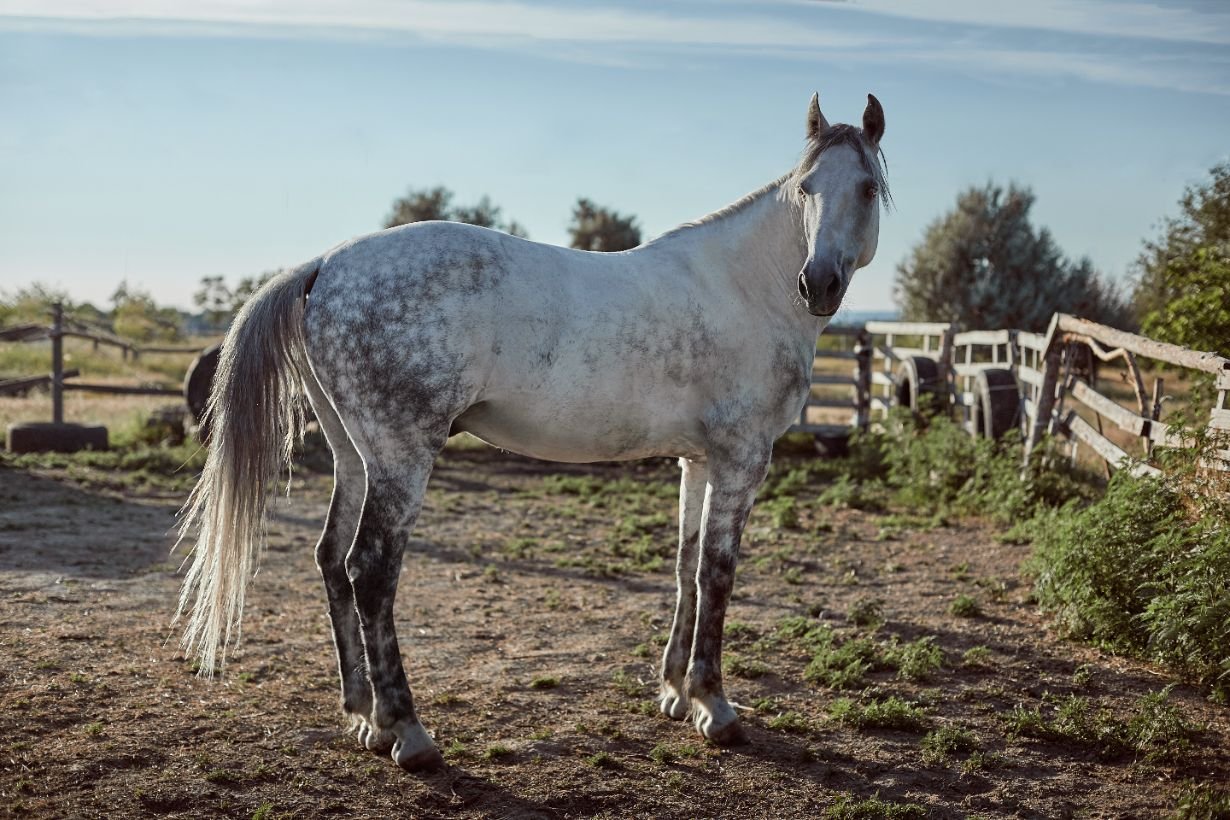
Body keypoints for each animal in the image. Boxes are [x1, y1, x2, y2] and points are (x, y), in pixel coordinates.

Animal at [176, 92, 890, 772]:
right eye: (806, 188)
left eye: (863, 187)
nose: (818, 283)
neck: (744, 287)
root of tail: (323, 265)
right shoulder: (742, 459)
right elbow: (718, 573)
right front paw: (714, 706)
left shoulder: (699, 461)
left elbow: (686, 567)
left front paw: (674, 693)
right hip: (401, 459)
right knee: (370, 571)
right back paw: (407, 732)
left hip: (355, 457)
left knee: (331, 560)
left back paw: (363, 716)